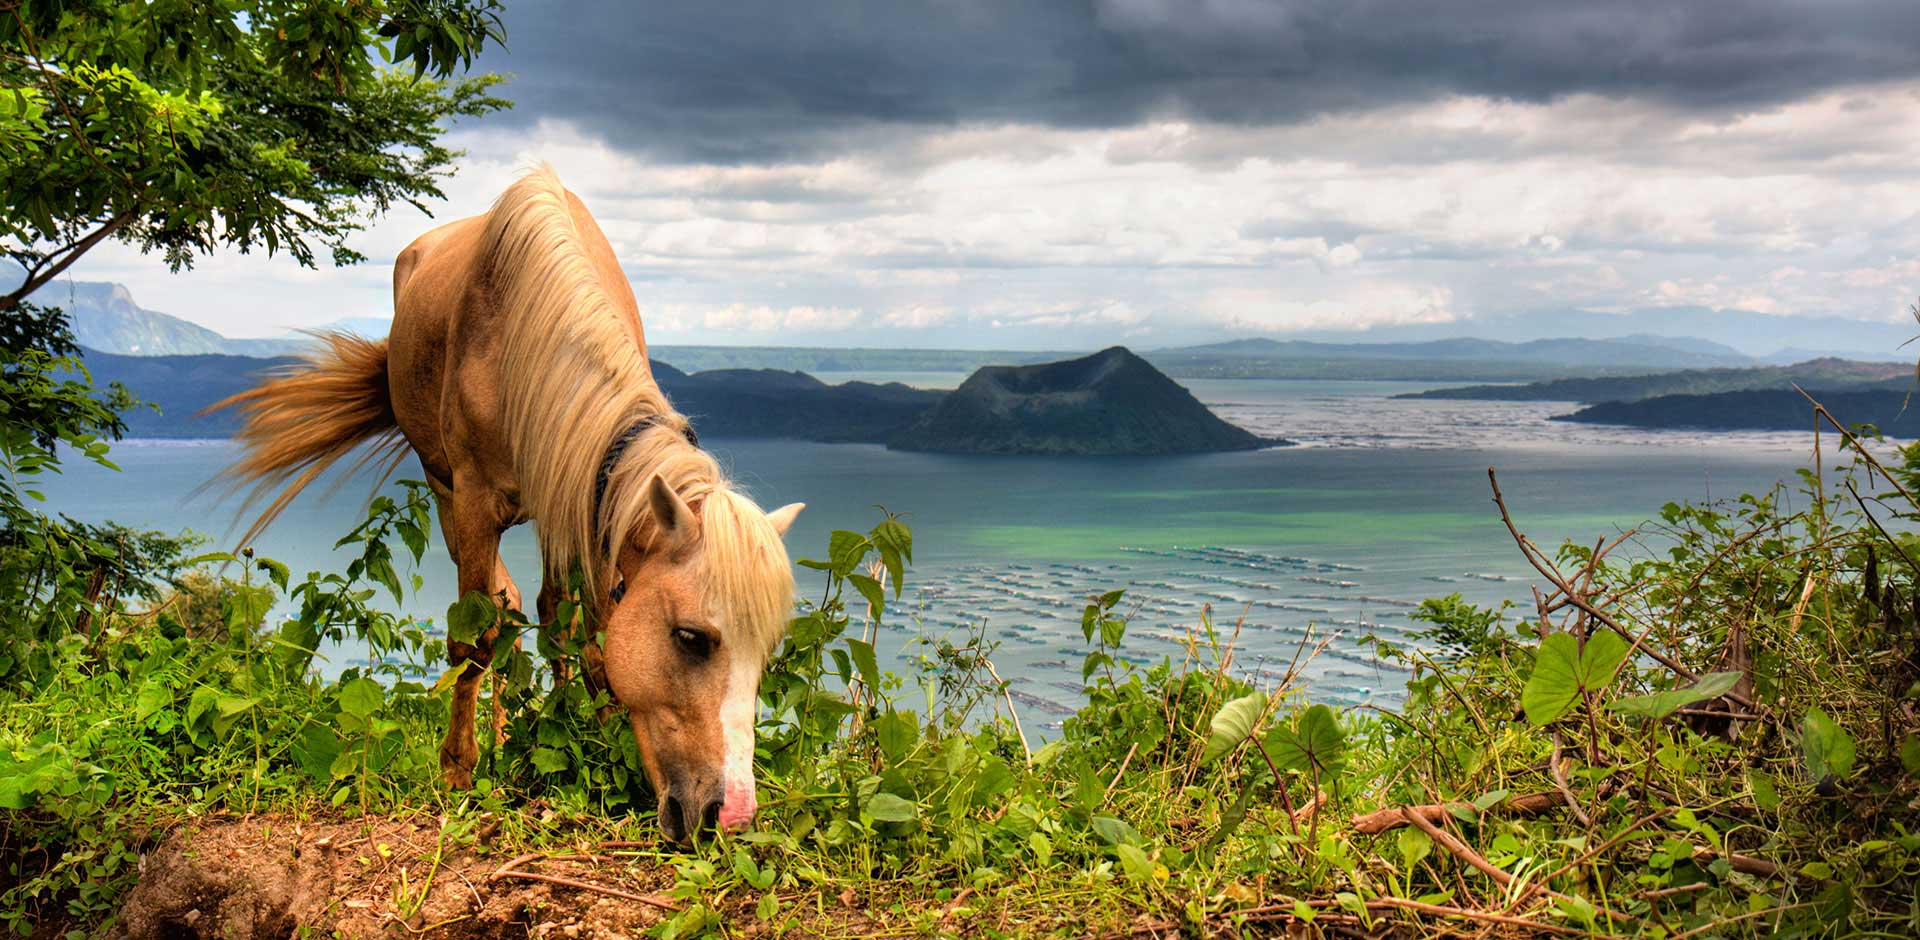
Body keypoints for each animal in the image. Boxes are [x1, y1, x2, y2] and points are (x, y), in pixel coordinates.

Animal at [212, 164, 802, 840]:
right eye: (690, 637)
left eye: (767, 650)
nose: (729, 815)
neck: (528, 333)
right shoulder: (474, 503)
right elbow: (474, 637)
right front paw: (458, 770)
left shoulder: (580, 502)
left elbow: (581, 632)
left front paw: (594, 740)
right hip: (443, 491)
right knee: (500, 611)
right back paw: (492, 742)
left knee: (528, 609)